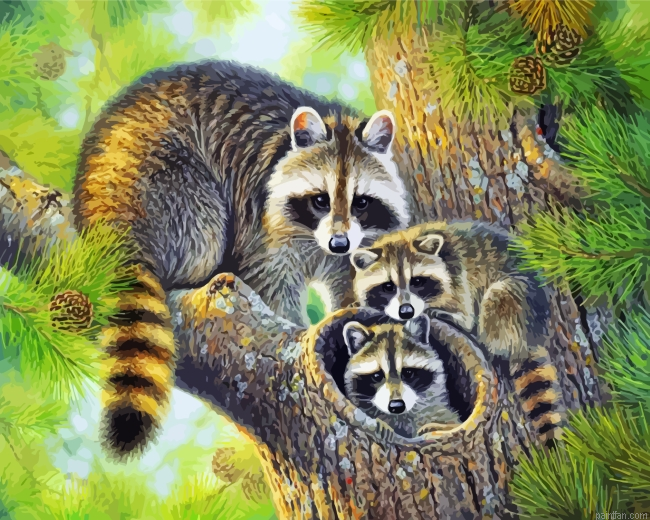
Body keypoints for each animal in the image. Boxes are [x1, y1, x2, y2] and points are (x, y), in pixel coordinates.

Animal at [74, 61, 410, 457]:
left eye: (361, 202)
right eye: (320, 200)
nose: (339, 243)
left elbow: (353, 285)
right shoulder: (263, 217)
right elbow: (271, 281)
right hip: (165, 179)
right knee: (203, 233)